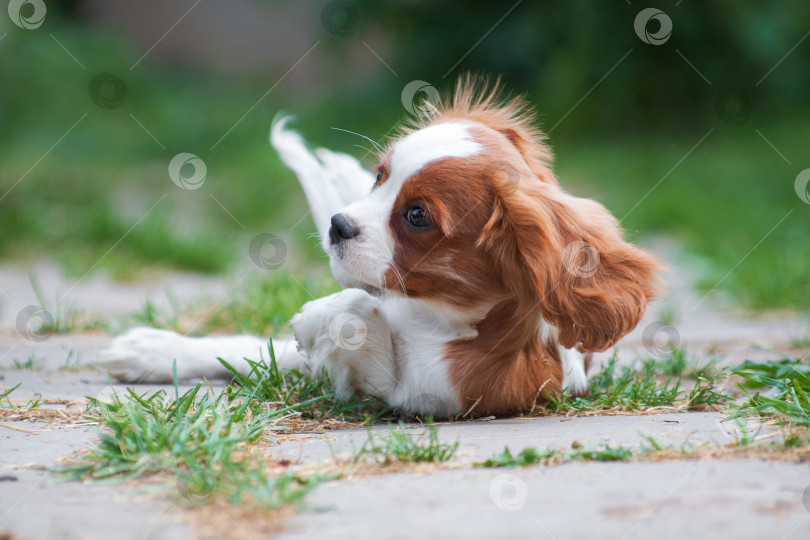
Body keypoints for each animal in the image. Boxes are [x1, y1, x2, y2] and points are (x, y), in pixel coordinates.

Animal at [98, 78, 660, 418]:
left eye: (417, 216)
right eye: (378, 177)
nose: (337, 224)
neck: (431, 311)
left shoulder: (428, 392)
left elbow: (354, 311)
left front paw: (318, 318)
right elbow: (255, 346)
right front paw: (156, 349)